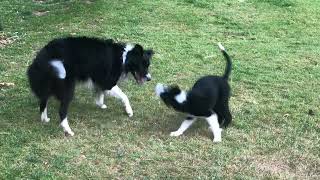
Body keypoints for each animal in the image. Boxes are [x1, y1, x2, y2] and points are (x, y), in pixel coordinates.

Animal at [26, 36, 154, 136]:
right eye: (143, 65)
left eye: (148, 65)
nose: (149, 79)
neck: (124, 57)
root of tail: (42, 58)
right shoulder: (108, 82)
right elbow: (124, 96)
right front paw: (129, 111)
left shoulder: (99, 80)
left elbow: (100, 94)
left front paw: (101, 105)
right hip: (67, 87)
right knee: (62, 111)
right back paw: (68, 131)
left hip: (47, 85)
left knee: (43, 102)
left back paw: (44, 119)